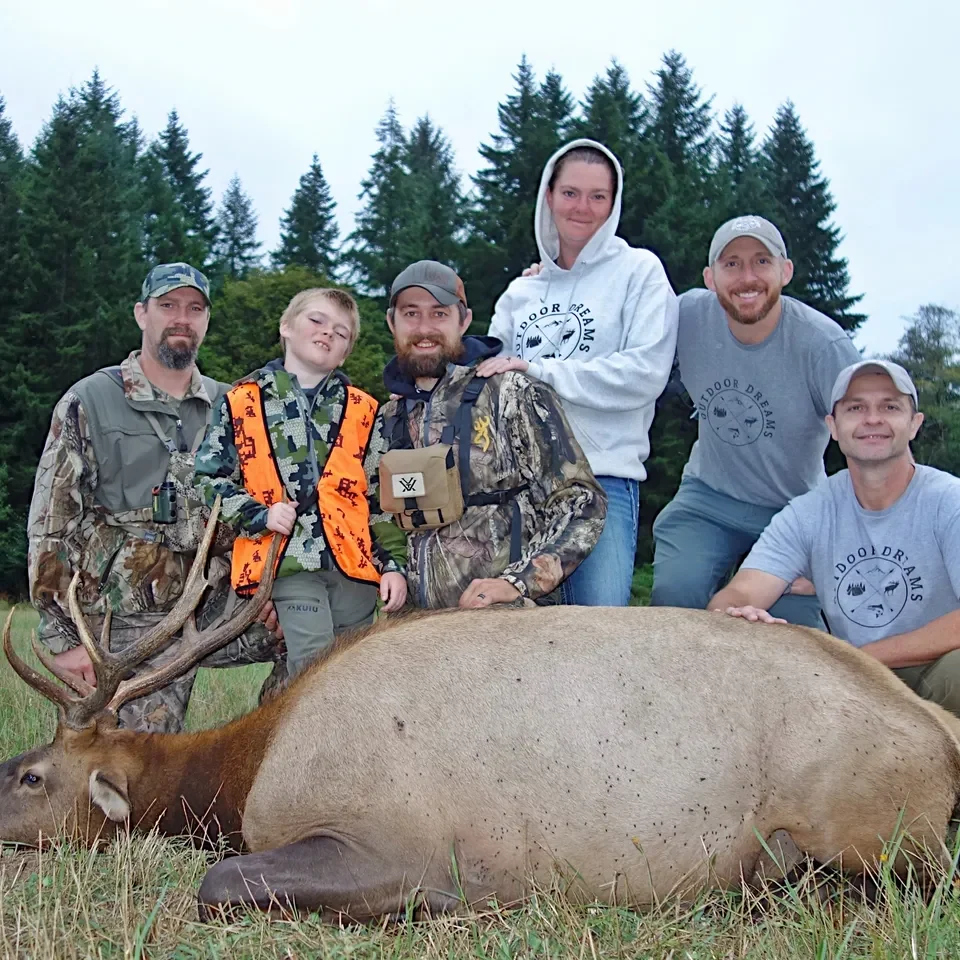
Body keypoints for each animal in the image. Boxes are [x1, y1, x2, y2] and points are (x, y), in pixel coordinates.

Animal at [3, 498, 960, 922]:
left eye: (31, 775)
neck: (243, 774)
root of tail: (940, 736)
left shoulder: (391, 839)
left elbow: (217, 881)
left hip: (877, 832)